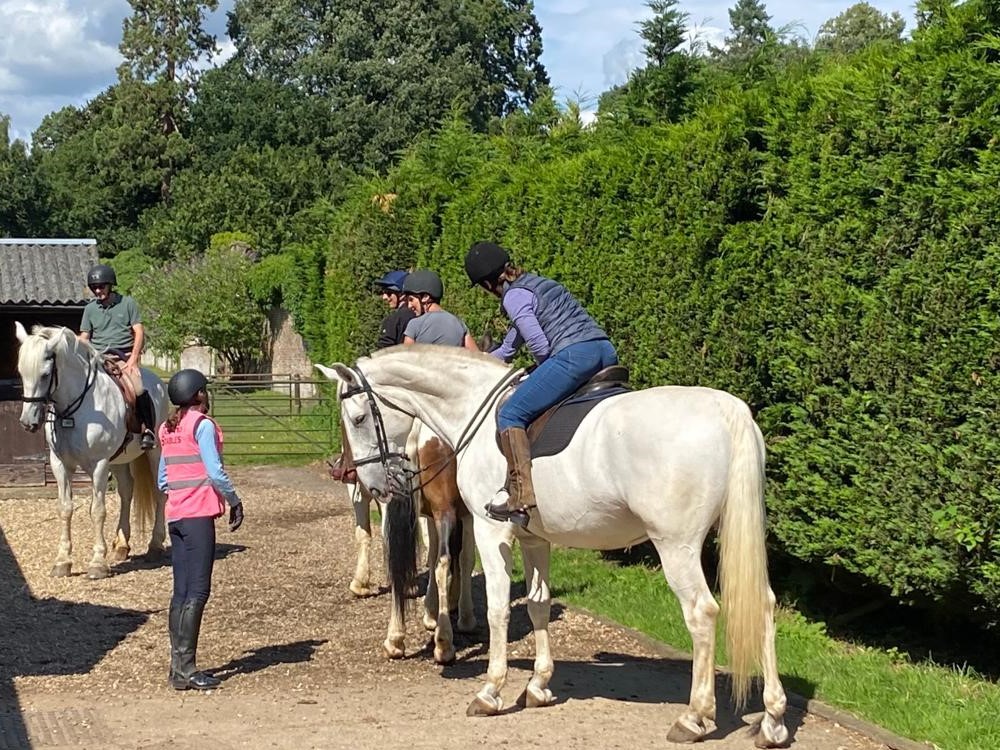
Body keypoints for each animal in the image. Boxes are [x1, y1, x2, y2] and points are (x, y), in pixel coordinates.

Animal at [15, 324, 168, 580]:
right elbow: (65, 508)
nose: (28, 422)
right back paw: (122, 545)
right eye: (21, 372)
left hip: (154, 452)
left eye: (45, 374)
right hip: (119, 460)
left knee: (159, 493)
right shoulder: (60, 465)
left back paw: (155, 545)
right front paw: (62, 561)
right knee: (127, 491)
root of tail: (158, 383)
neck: (76, 410)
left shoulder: (99, 465)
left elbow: (97, 511)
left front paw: (97, 563)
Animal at [320, 346, 788, 748]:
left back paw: (695, 716)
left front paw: (490, 690)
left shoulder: (491, 532)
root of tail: (726, 410)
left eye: (357, 418)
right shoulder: (533, 538)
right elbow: (537, 604)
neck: (471, 407)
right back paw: (773, 719)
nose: (372, 484)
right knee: (764, 606)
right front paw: (539, 685)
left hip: (676, 546)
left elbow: (496, 608)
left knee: (702, 614)